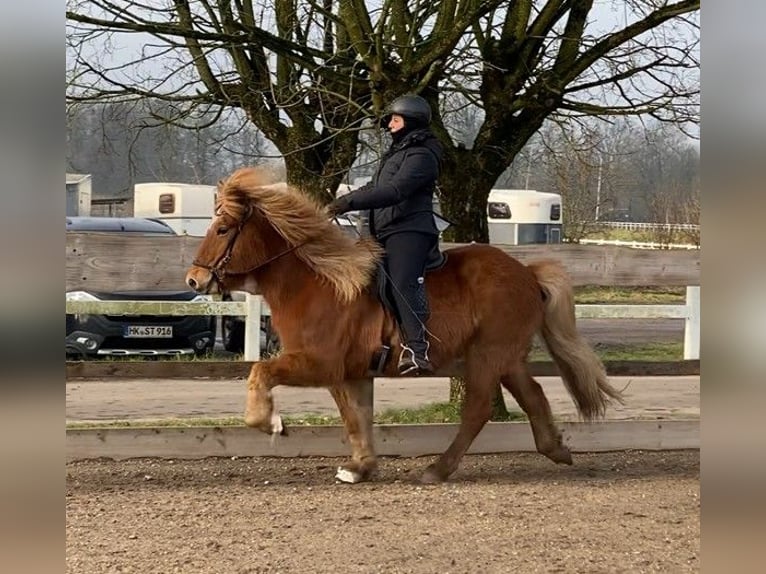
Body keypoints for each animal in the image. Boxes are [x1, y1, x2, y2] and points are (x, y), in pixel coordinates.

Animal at [184, 168, 624, 486]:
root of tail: (528, 273)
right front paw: (360, 467)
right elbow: (356, 417)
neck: (319, 282)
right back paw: (556, 449)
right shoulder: (348, 373)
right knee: (533, 395)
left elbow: (260, 372)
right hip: (507, 356)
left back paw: (438, 469)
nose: (193, 280)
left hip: (487, 354)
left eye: (222, 229)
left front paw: (270, 422)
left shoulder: (319, 363)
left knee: (479, 409)